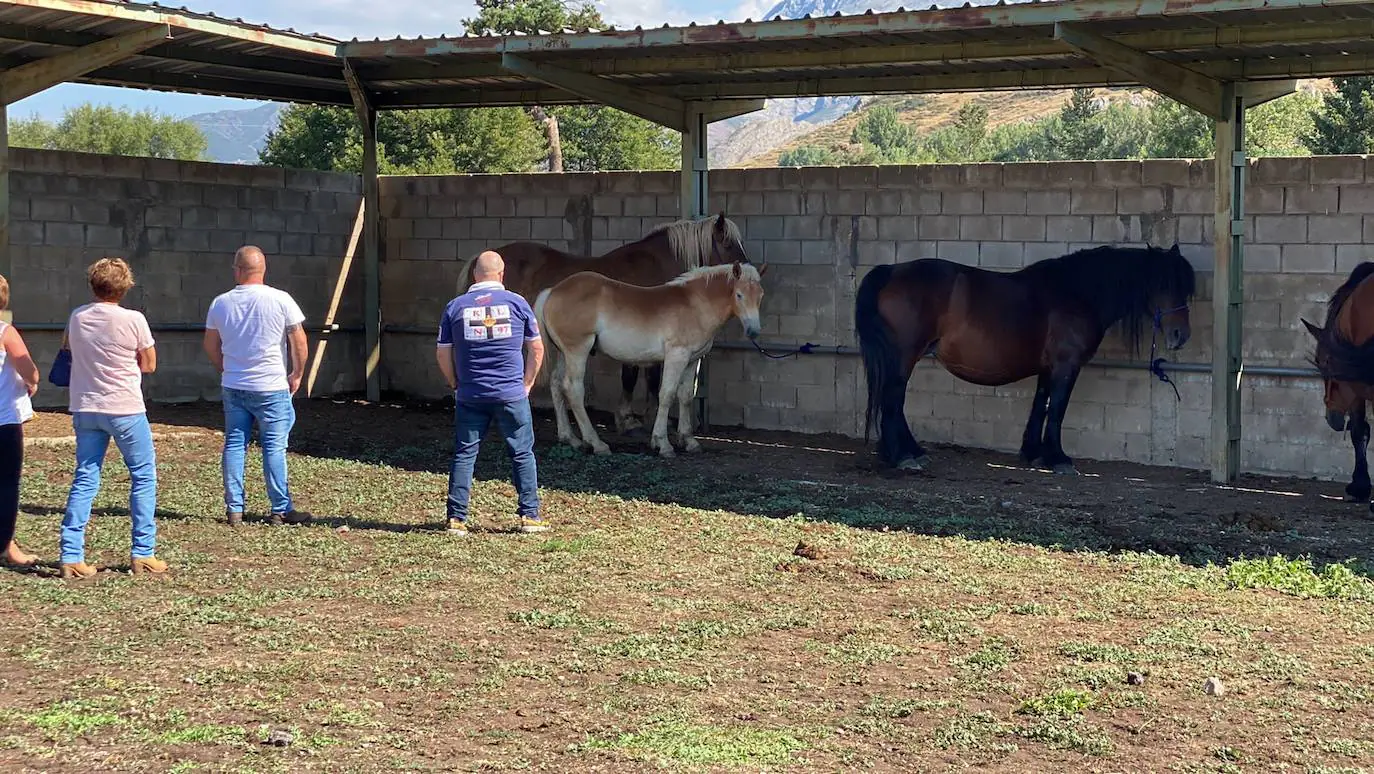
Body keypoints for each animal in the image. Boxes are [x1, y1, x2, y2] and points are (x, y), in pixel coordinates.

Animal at [535, 265, 769, 459]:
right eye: (739, 295)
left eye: (760, 295)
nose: (753, 331)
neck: (695, 304)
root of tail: (552, 291)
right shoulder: (676, 355)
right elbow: (666, 395)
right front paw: (662, 444)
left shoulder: (692, 360)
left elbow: (686, 396)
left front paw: (689, 441)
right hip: (578, 351)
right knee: (573, 389)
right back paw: (597, 444)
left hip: (564, 353)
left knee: (556, 385)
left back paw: (570, 438)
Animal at [851, 244, 1198, 475]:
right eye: (1163, 284)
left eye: (1185, 288)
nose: (1180, 335)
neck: (1076, 293)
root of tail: (891, 271)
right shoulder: (1066, 366)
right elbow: (1056, 410)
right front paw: (1058, 459)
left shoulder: (1048, 368)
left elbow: (1040, 406)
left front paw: (1033, 453)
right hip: (904, 357)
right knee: (893, 400)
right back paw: (903, 456)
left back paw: (905, 452)